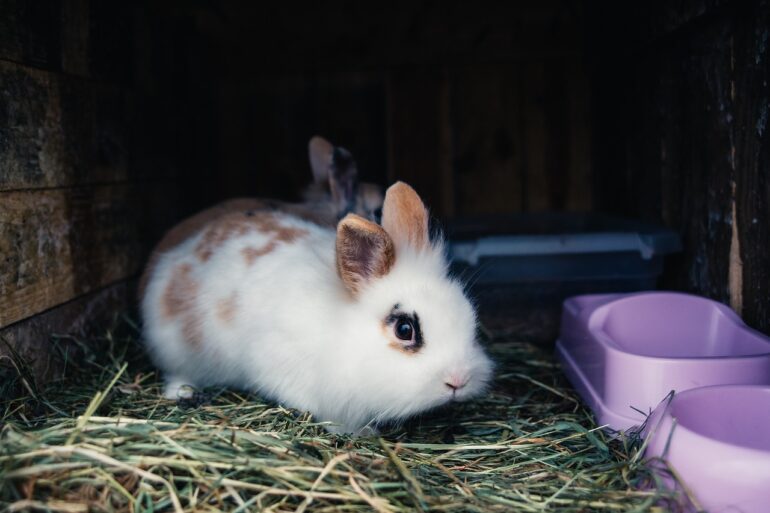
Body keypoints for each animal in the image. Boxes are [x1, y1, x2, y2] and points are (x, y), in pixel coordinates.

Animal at [140, 181, 493, 434]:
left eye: (469, 318)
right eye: (404, 329)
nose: (459, 380)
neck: (344, 330)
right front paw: (360, 434)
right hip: (176, 348)